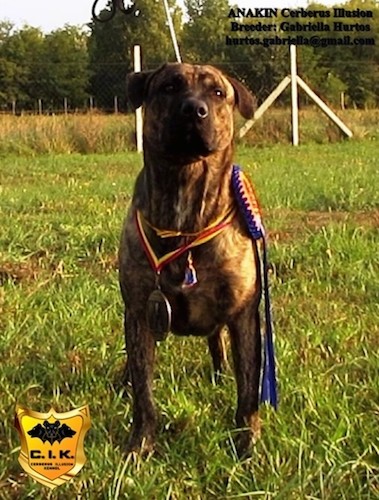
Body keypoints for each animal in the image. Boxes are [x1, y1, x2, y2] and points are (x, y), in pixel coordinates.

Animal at [120, 62, 262, 458]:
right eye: (169, 87)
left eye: (218, 93)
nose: (193, 110)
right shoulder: (139, 310)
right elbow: (144, 391)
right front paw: (141, 443)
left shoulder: (244, 312)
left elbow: (249, 389)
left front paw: (246, 445)